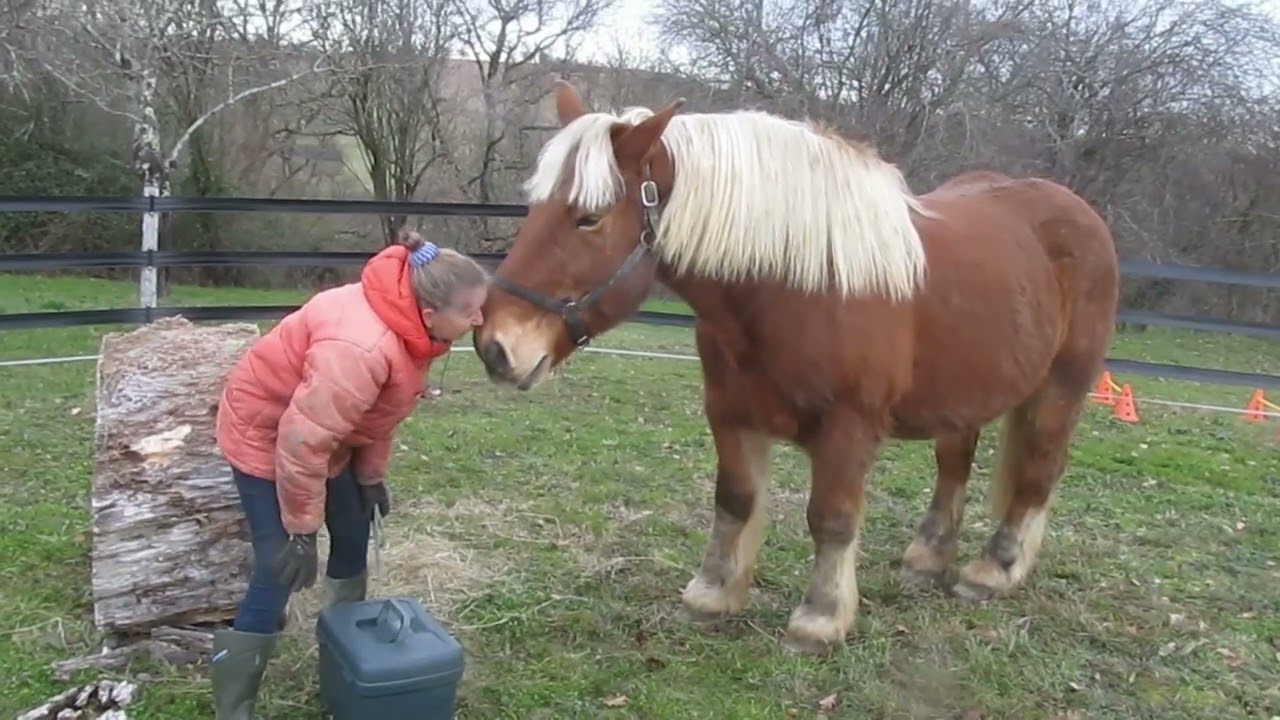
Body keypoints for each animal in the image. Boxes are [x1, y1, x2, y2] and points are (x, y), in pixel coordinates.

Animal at [472, 80, 1119, 654]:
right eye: (535, 206)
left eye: (589, 217)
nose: (494, 346)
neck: (795, 288)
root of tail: (1078, 213)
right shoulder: (730, 414)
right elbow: (735, 500)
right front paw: (712, 594)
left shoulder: (848, 431)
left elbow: (831, 519)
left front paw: (820, 619)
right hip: (966, 395)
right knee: (954, 466)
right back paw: (927, 559)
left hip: (1060, 389)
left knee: (1038, 472)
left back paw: (995, 569)